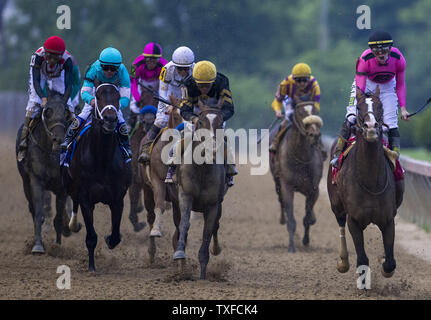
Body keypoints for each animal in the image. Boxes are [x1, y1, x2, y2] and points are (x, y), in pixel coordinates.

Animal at [16, 89, 74, 252]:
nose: (58, 140)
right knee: (32, 207)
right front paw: (37, 245)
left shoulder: (62, 186)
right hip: (25, 183)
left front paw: (58, 246)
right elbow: (38, 213)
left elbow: (59, 217)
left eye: (66, 112)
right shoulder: (36, 180)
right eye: (47, 111)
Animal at [63, 84, 132, 272]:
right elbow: (91, 237)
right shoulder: (86, 198)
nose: (110, 119)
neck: (102, 158)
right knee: (73, 200)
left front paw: (109, 239)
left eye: (117, 97)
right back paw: (73, 224)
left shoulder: (118, 198)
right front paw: (92, 267)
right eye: (98, 96)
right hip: (70, 185)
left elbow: (115, 235)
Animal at [270, 89, 324, 252]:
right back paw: (283, 219)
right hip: (277, 182)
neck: (301, 157)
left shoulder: (313, 188)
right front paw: (291, 247)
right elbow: (292, 219)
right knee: (281, 202)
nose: (314, 135)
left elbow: (307, 218)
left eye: (315, 111)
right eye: (300, 112)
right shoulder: (287, 186)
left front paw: (306, 240)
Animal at [330, 87, 404, 280]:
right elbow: (362, 260)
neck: (371, 182)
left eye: (380, 106)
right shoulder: (354, 221)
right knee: (340, 223)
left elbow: (390, 261)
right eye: (359, 106)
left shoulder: (388, 219)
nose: (370, 127)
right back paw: (343, 262)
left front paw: (385, 263)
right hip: (336, 205)